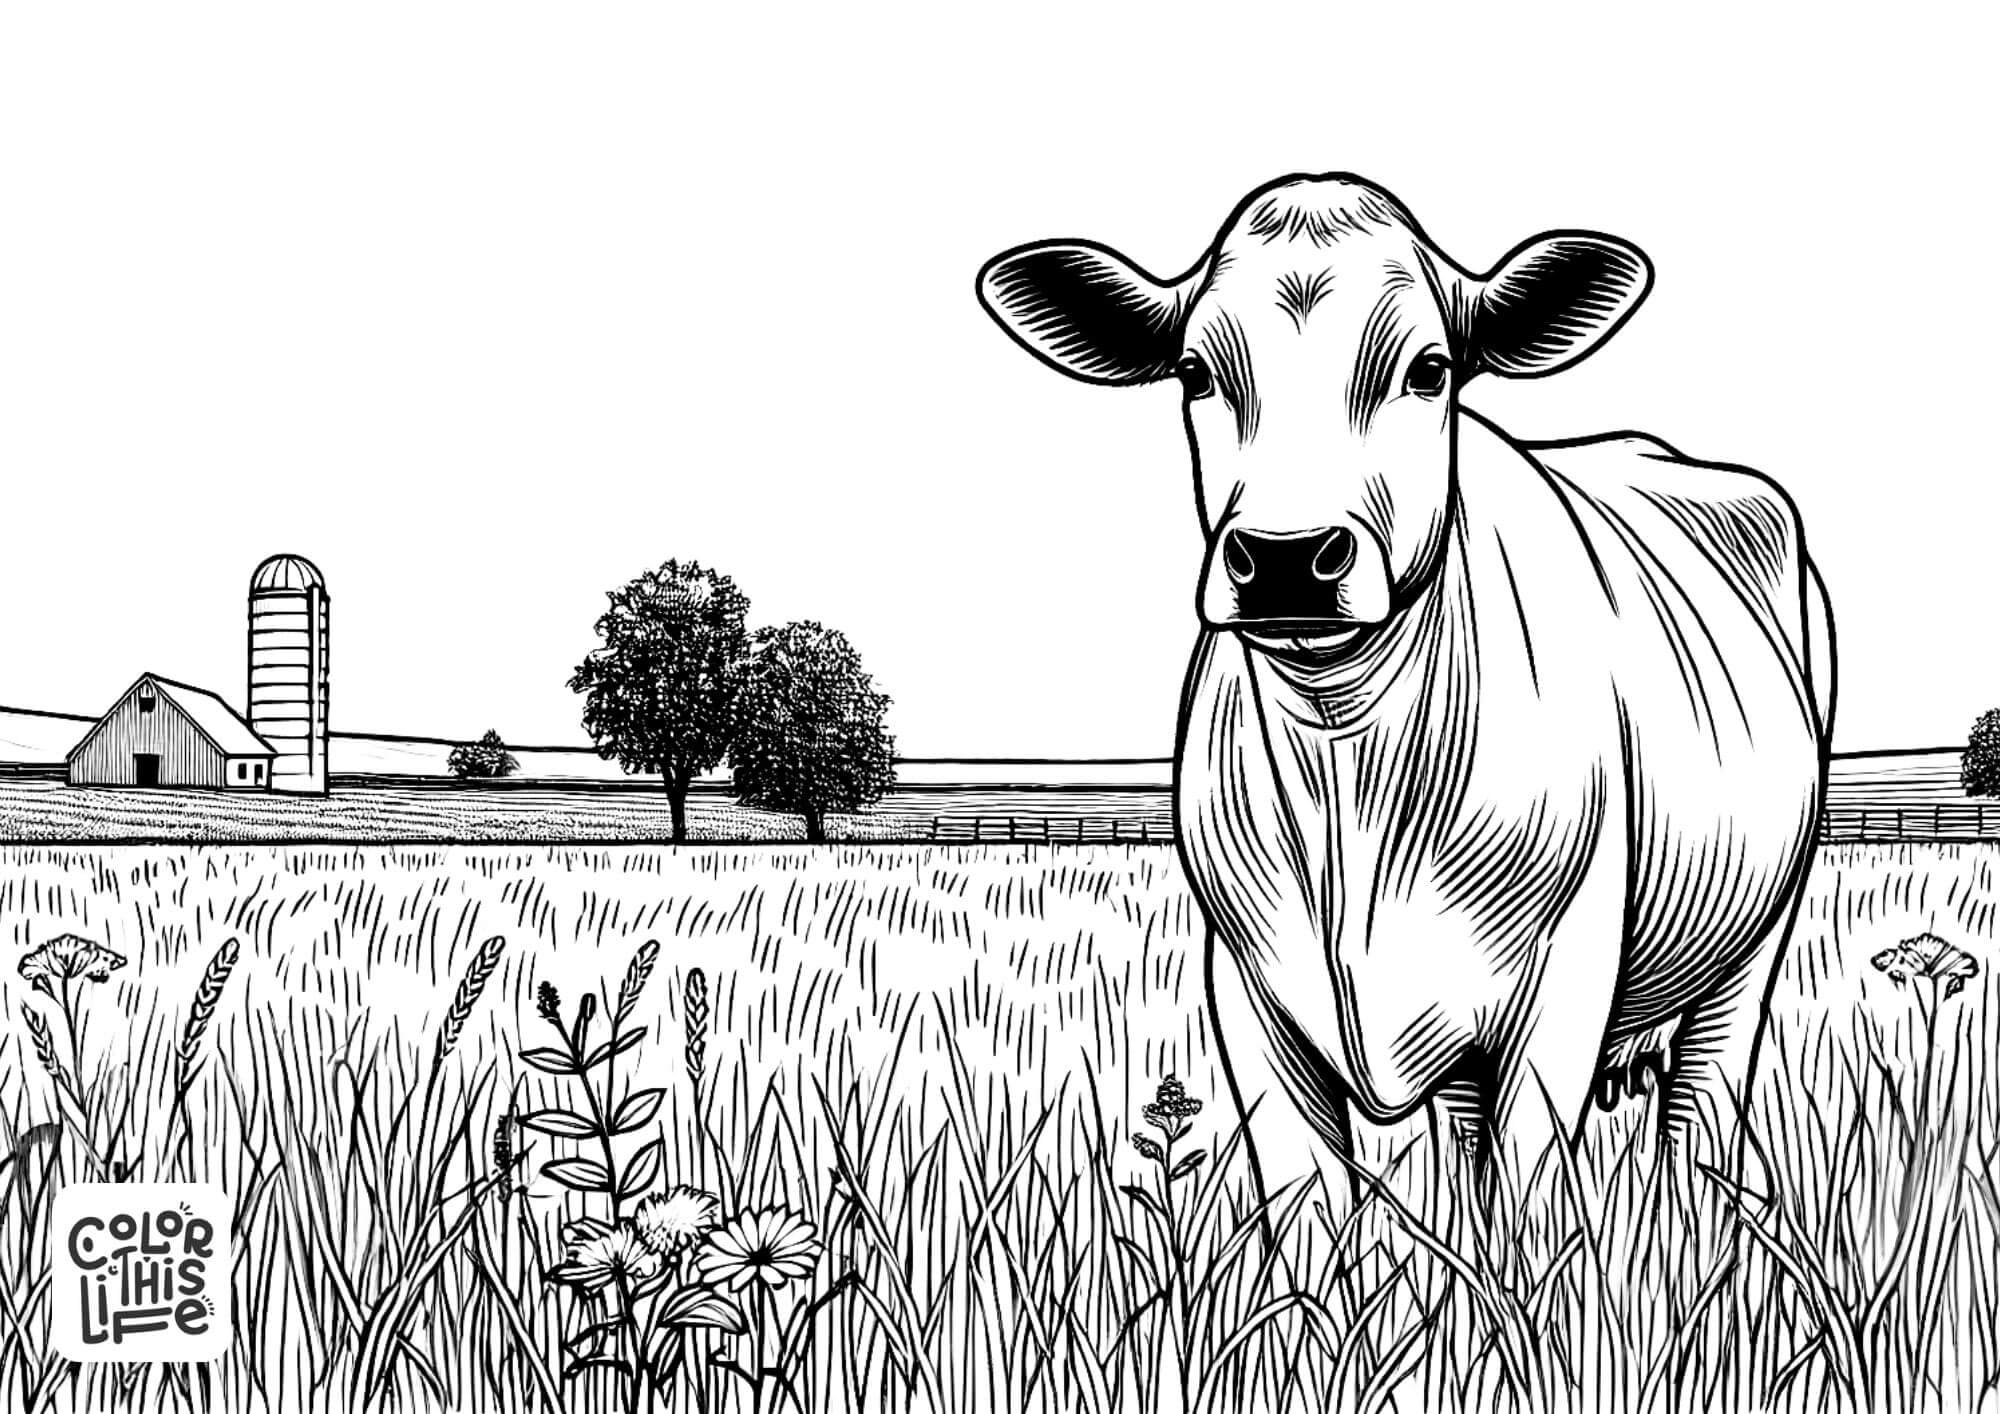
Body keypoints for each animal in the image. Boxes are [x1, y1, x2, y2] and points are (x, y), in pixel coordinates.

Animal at [976, 173, 1834, 1229]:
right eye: (1194, 373)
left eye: (1429, 371)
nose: (1289, 559)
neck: (1350, 756)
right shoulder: (1250, 993)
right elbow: (1310, 1201)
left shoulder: (1564, 984)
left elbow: (1533, 1190)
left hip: (1754, 939)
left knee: (1701, 1108)